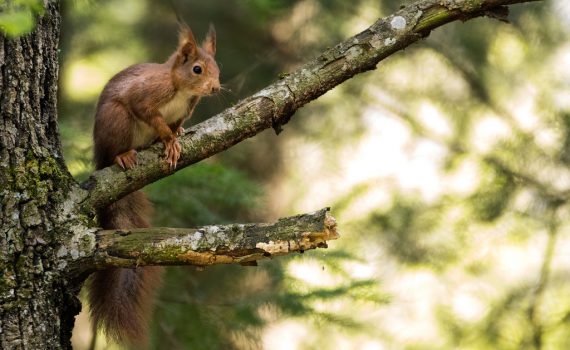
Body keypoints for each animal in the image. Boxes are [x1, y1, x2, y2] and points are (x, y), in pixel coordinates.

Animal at [87, 23, 220, 344]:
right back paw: (123, 155)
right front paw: (169, 139)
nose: (215, 88)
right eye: (197, 69)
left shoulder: (187, 109)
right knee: (116, 148)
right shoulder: (147, 95)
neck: (181, 89)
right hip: (117, 121)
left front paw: (178, 135)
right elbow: (151, 115)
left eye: (217, 68)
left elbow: (176, 123)